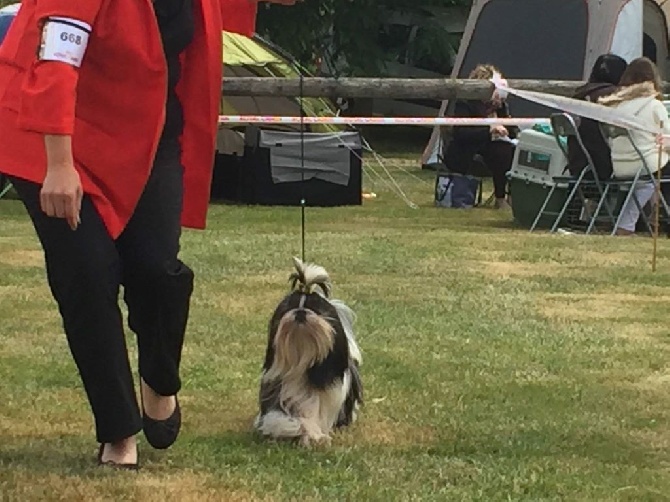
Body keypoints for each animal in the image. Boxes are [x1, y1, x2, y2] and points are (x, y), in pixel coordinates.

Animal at [255, 256, 364, 446]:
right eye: (288, 307)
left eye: (316, 309)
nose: (300, 311)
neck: (302, 360)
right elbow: (280, 419)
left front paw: (312, 435)